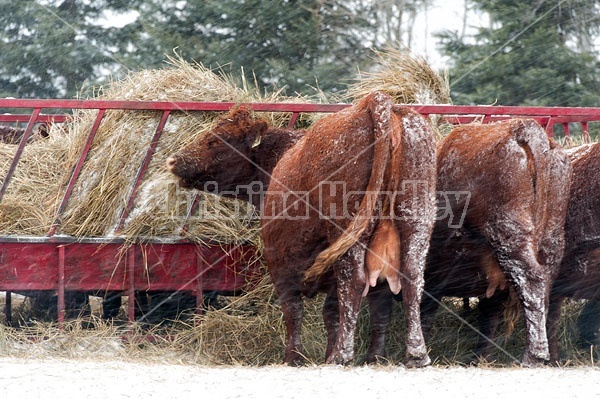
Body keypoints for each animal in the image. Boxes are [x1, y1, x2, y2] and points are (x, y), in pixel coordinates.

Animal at [262, 90, 436, 366]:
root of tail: (376, 100)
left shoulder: (280, 269)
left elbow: (295, 312)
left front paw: (294, 357)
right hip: (416, 219)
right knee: (412, 279)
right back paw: (416, 354)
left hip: (348, 226)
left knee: (353, 282)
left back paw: (341, 355)